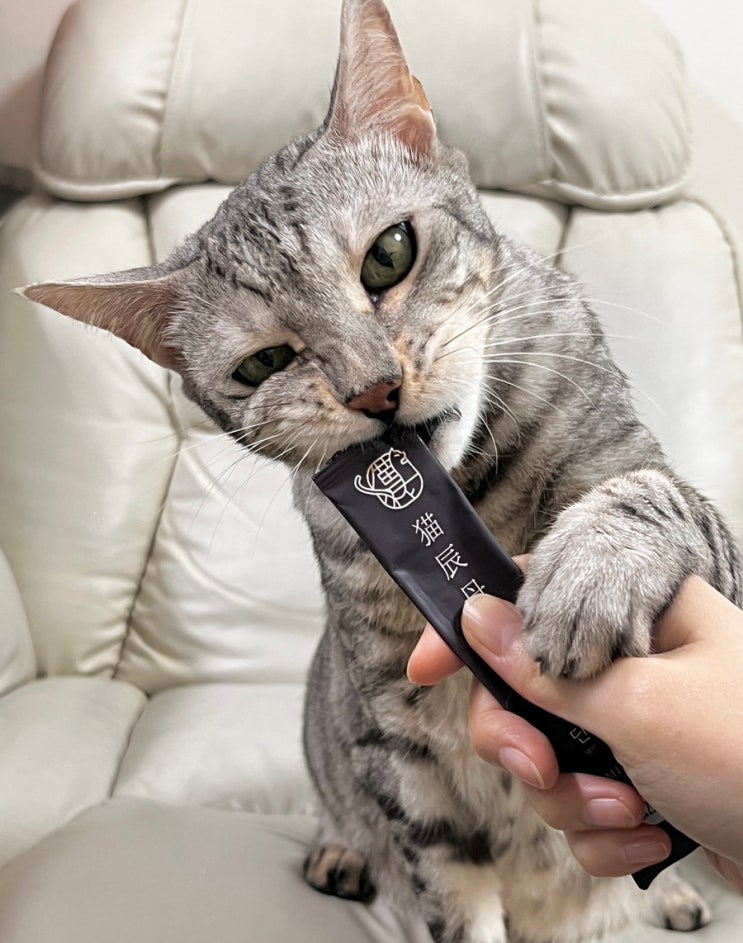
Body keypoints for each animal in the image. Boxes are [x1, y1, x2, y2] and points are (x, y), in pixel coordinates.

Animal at [18, 0, 742, 940]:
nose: (373, 389)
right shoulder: (393, 736)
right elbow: (447, 890)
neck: (467, 490)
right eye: (264, 363)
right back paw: (340, 853)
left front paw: (591, 570)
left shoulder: (666, 505)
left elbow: (654, 495)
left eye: (388, 254)